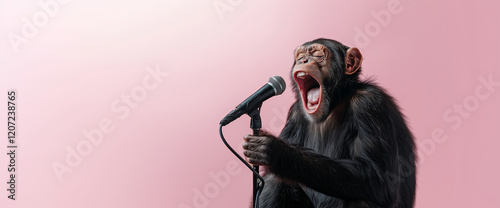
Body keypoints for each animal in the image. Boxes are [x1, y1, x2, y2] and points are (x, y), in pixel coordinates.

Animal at [244, 38, 416, 207]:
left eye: (318, 55)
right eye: (300, 56)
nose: (303, 60)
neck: (336, 102)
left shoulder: (369, 103)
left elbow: (380, 176)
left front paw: (276, 150)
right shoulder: (294, 115)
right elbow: (267, 177)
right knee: (274, 184)